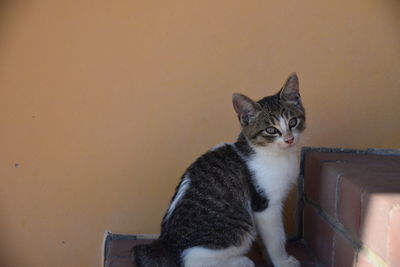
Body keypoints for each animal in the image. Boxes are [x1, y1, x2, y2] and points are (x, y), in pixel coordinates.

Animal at [133, 73, 304, 267]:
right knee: (193, 260)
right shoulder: (266, 205)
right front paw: (282, 260)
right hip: (239, 228)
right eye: (271, 130)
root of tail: (167, 247)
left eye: (293, 122)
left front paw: (266, 254)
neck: (275, 154)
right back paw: (239, 261)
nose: (289, 139)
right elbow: (276, 237)